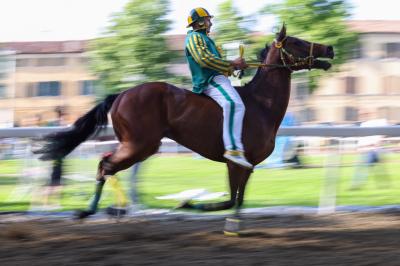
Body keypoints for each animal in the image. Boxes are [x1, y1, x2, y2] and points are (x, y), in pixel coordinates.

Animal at [35, 25, 334, 220]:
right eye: (296, 41)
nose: (329, 48)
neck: (261, 105)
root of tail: (122, 94)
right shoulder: (234, 161)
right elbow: (230, 199)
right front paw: (190, 203)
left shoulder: (248, 165)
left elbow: (238, 200)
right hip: (139, 145)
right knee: (105, 165)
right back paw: (96, 209)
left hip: (139, 146)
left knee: (107, 164)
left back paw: (109, 208)